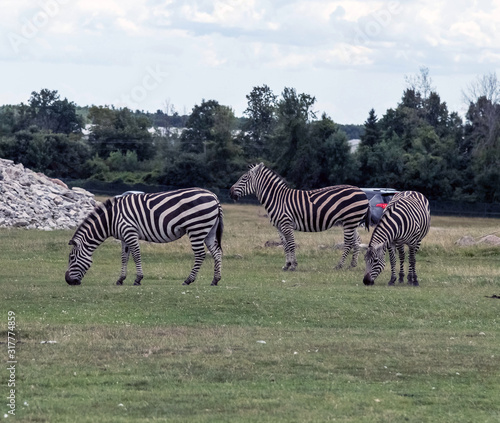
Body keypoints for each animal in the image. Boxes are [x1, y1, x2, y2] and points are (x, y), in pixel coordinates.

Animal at [65, 190, 224, 286]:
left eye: (71, 258)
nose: (68, 281)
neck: (111, 219)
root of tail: (214, 196)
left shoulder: (130, 232)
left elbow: (136, 255)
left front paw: (138, 279)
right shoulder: (124, 237)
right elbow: (124, 257)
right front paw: (120, 279)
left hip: (196, 228)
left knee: (200, 254)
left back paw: (188, 280)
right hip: (208, 231)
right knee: (216, 252)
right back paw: (215, 280)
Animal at [229, 162, 370, 272]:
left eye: (244, 178)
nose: (230, 192)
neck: (277, 199)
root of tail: (361, 191)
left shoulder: (286, 224)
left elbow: (291, 244)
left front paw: (293, 265)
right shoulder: (279, 227)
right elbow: (285, 245)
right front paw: (286, 265)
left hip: (350, 220)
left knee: (348, 242)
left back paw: (339, 265)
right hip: (352, 221)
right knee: (356, 241)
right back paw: (352, 265)